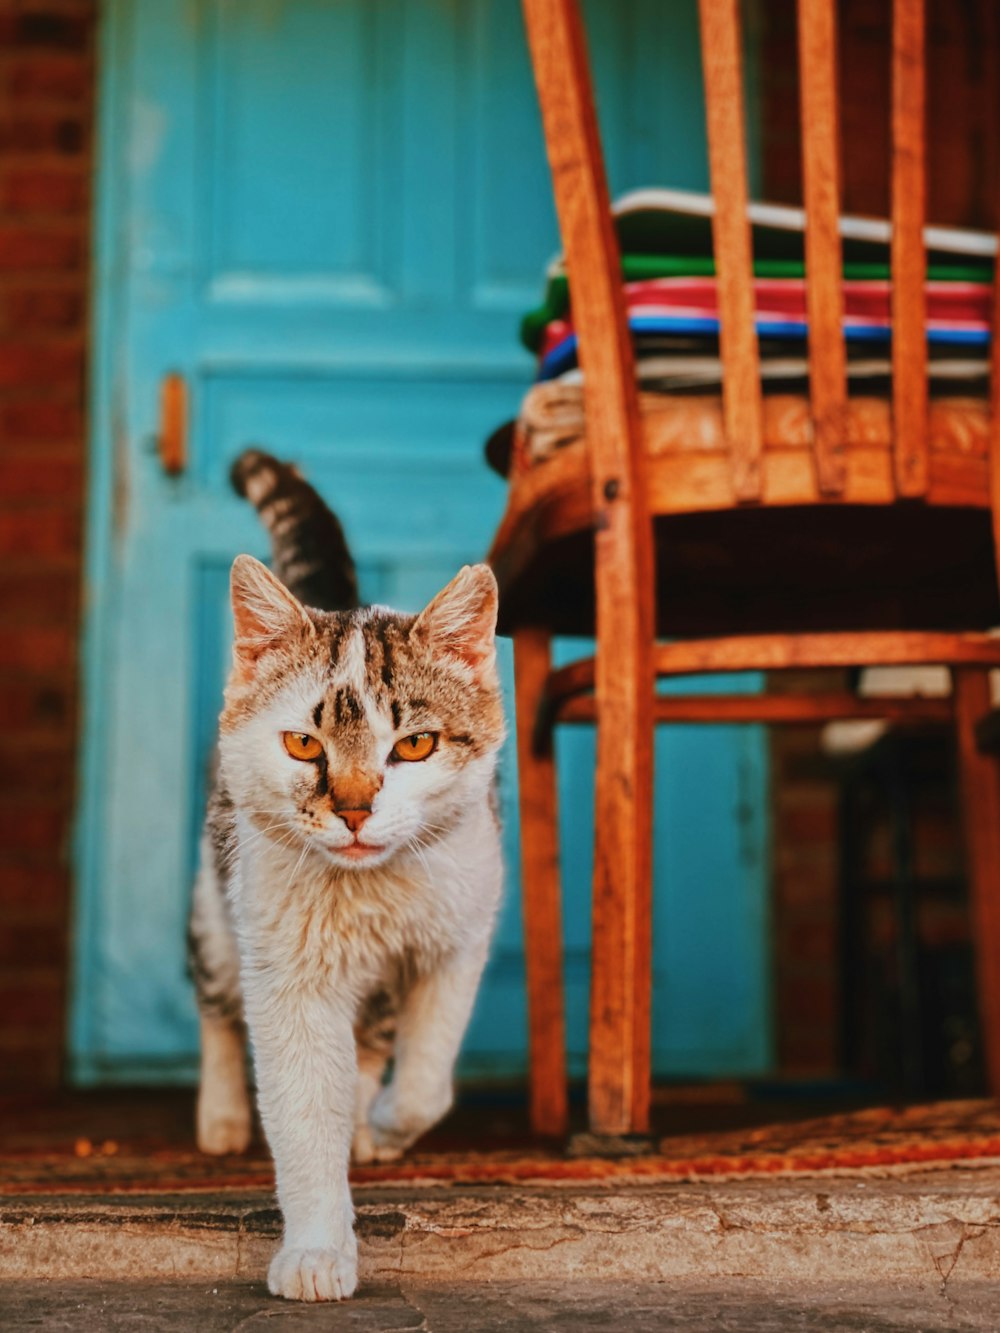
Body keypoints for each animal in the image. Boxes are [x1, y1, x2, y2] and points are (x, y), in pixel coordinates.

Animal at [189, 450, 504, 1301]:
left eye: (417, 744)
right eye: (303, 743)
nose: (356, 807)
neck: (370, 891)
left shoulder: (459, 937)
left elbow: (427, 1080)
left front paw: (388, 1124)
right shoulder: (286, 972)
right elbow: (302, 1110)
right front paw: (316, 1249)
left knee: (369, 1046)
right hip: (216, 903)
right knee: (217, 1006)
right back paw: (221, 1115)